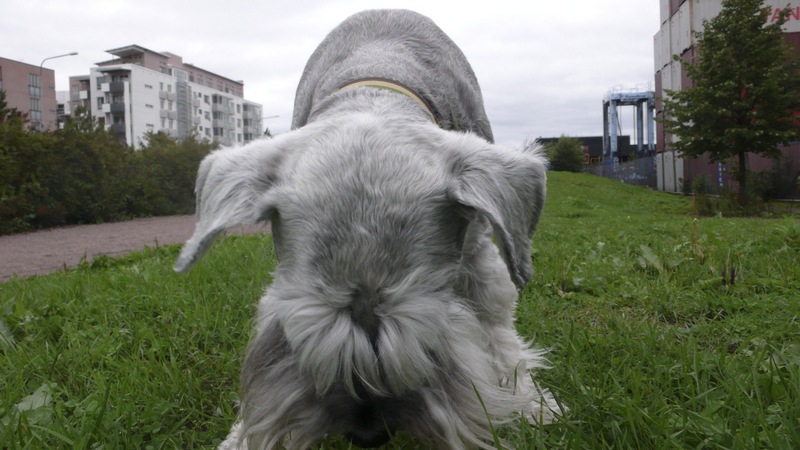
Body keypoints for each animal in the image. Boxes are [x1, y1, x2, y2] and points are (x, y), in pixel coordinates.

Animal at [174, 7, 560, 450]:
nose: (369, 434)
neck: (377, 83)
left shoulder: (478, 247)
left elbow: (497, 326)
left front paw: (528, 399)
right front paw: (240, 434)